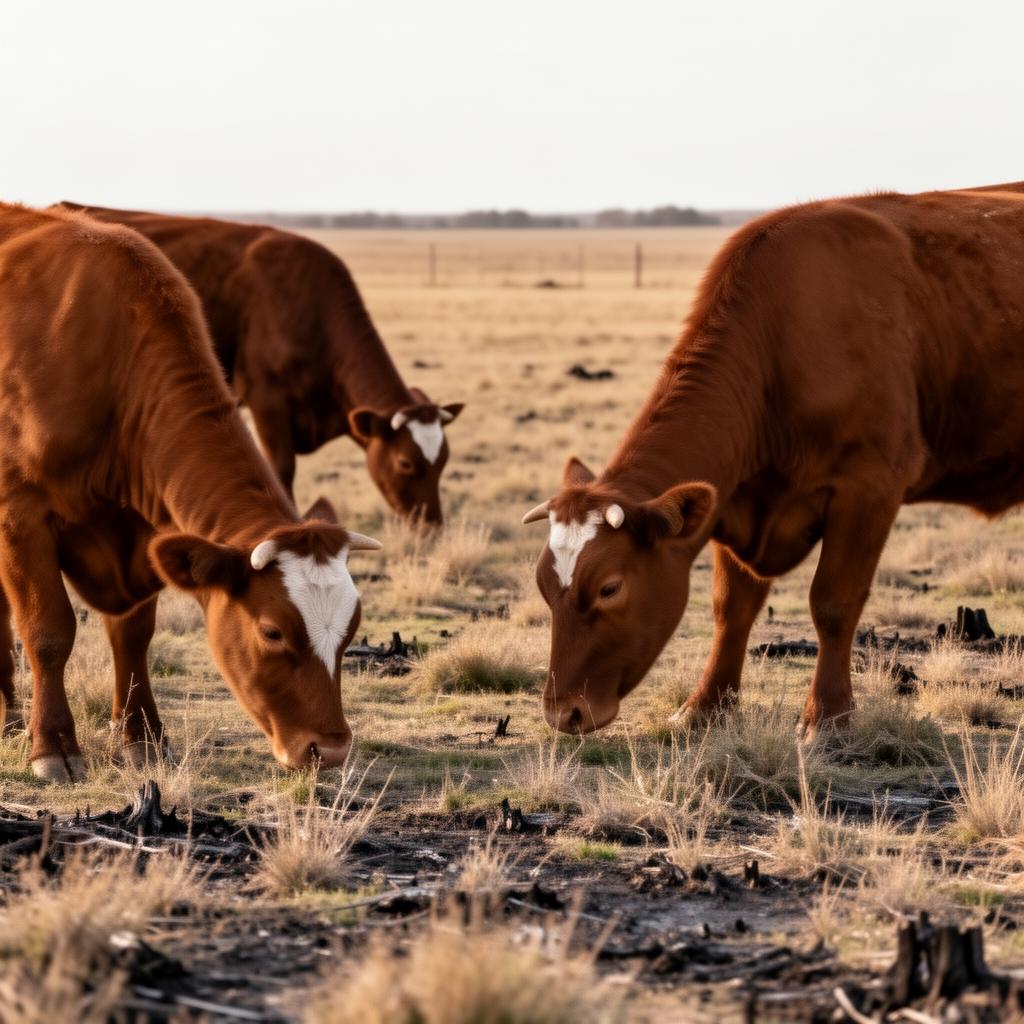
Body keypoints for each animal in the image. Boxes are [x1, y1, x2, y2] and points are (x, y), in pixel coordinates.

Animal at [0, 203, 382, 781]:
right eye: (272, 632)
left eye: (351, 629)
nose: (331, 749)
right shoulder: (21, 516)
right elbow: (48, 632)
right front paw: (53, 746)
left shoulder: (143, 532)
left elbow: (133, 634)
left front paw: (142, 736)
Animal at [524, 183, 1024, 739]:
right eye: (544, 585)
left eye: (610, 587)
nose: (563, 712)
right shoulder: (733, 497)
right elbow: (731, 608)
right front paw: (705, 706)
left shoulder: (869, 489)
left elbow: (833, 603)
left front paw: (826, 716)